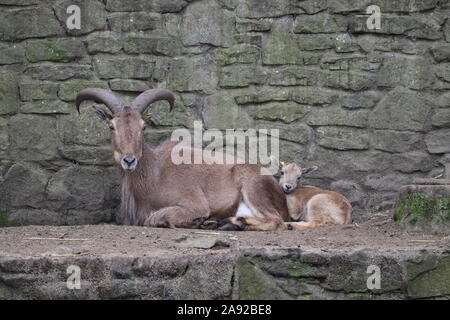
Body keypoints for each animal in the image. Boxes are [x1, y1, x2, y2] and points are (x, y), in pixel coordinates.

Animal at [75, 89, 290, 231]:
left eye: (143, 126)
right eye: (112, 126)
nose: (129, 160)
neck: (153, 174)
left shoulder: (194, 203)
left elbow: (155, 218)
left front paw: (198, 221)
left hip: (252, 188)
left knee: (276, 221)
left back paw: (229, 223)